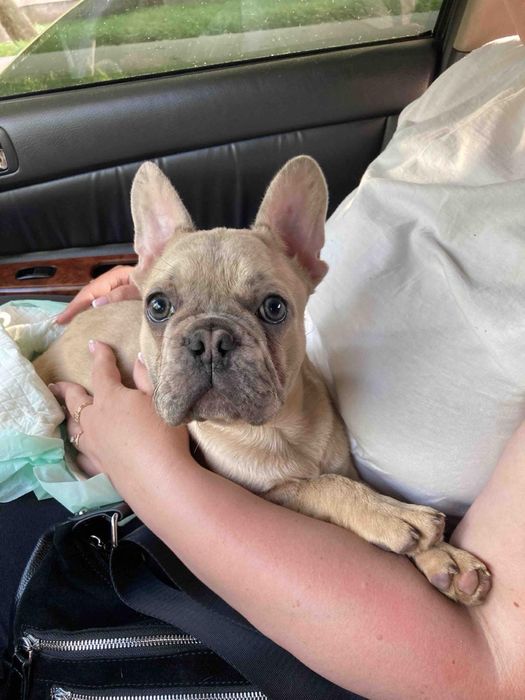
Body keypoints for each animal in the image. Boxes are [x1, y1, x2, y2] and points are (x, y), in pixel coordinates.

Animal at [34, 157, 491, 605]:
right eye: (158, 306)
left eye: (274, 308)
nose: (210, 338)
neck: (280, 430)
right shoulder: (269, 494)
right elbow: (326, 486)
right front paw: (390, 512)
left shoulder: (342, 465)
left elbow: (344, 479)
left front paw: (444, 556)